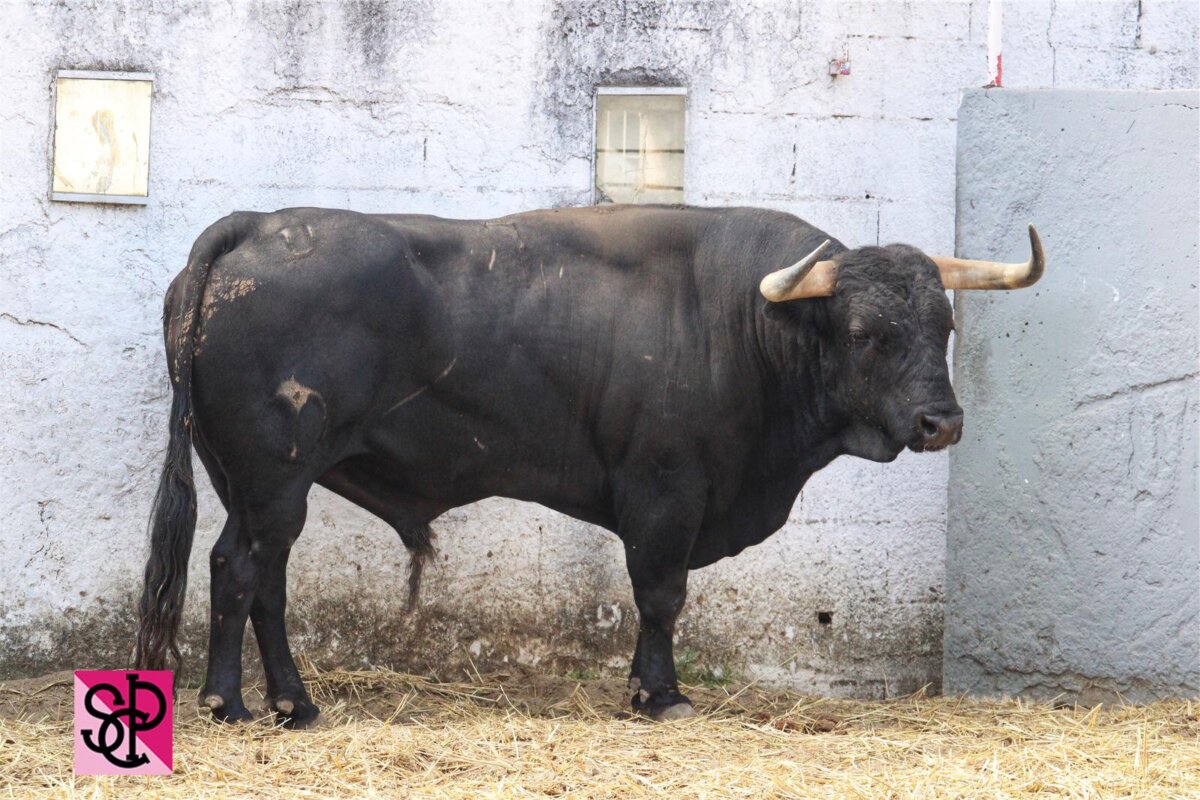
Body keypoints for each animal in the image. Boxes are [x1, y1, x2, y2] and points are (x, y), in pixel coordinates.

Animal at [134, 204, 1042, 725]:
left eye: (945, 326)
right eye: (862, 333)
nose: (941, 421)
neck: (740, 325)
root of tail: (254, 224)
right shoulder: (666, 493)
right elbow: (661, 597)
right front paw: (660, 694)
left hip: (254, 484)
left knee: (258, 578)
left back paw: (291, 703)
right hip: (274, 477)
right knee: (239, 571)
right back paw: (232, 701)